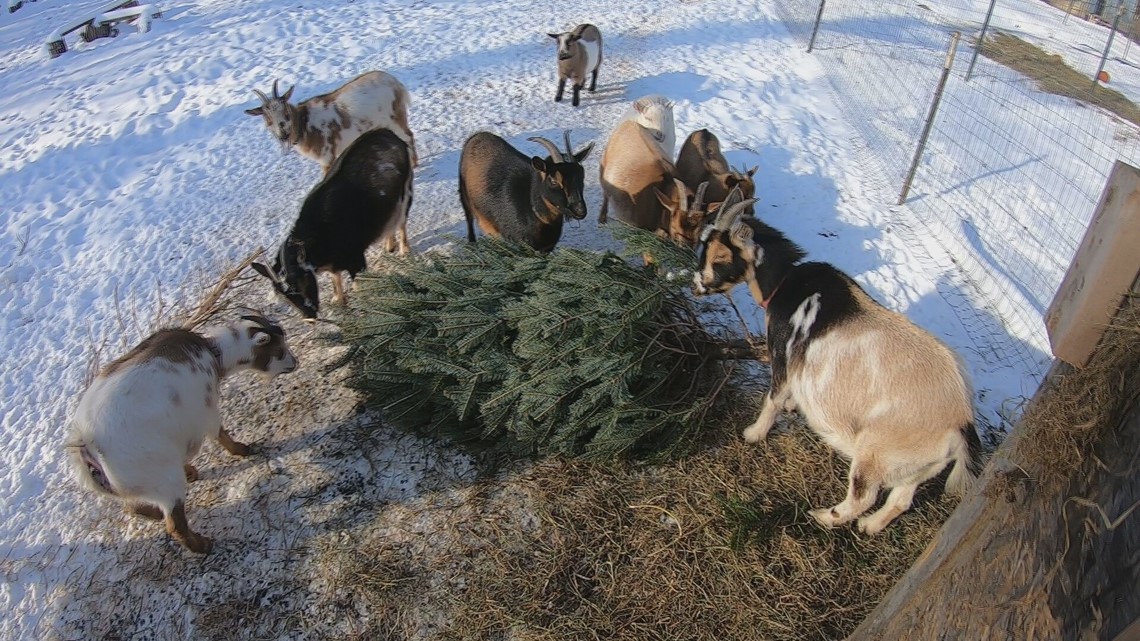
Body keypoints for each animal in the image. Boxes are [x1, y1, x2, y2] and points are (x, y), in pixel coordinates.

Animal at [66, 314, 298, 554]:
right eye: (279, 350)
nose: (295, 362)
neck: (214, 353)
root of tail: (87, 447)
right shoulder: (205, 408)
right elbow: (219, 432)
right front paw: (242, 450)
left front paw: (190, 470)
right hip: (164, 480)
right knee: (174, 525)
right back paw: (203, 545)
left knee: (132, 506)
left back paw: (160, 509)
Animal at [244, 70, 418, 173]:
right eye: (268, 121)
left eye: (286, 113)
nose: (283, 135)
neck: (304, 124)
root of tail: (394, 82)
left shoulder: (326, 157)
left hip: (395, 117)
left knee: (408, 135)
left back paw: (414, 163)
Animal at [253, 127, 413, 319]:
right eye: (284, 297)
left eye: (300, 281)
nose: (309, 316)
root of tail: (388, 133)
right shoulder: (334, 263)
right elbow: (335, 277)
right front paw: (338, 300)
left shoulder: (355, 258)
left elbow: (360, 285)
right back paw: (389, 245)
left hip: (405, 192)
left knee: (401, 221)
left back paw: (404, 250)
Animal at [458, 130, 593, 253]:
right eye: (554, 180)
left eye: (582, 175)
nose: (580, 210)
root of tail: (478, 135)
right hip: (464, 194)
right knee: (469, 218)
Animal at [691, 190, 984, 535]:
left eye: (720, 257)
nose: (697, 284)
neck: (785, 282)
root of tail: (960, 423)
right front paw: (792, 406)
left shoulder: (782, 352)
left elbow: (773, 397)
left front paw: (753, 434)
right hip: (915, 464)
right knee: (900, 500)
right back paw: (869, 526)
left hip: (875, 452)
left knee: (863, 495)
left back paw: (823, 517)